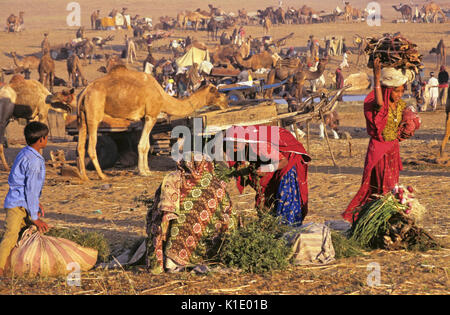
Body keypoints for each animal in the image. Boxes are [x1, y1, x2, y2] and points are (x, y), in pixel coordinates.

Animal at [76, 65, 229, 181]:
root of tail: (84, 91)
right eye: (216, 92)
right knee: (91, 147)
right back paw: (102, 176)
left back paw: (84, 177)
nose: (225, 101)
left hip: (83, 118)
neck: (162, 96)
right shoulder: (151, 115)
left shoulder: (144, 118)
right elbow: (142, 145)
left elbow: (147, 145)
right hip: (94, 113)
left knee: (80, 147)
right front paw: (143, 171)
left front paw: (147, 169)